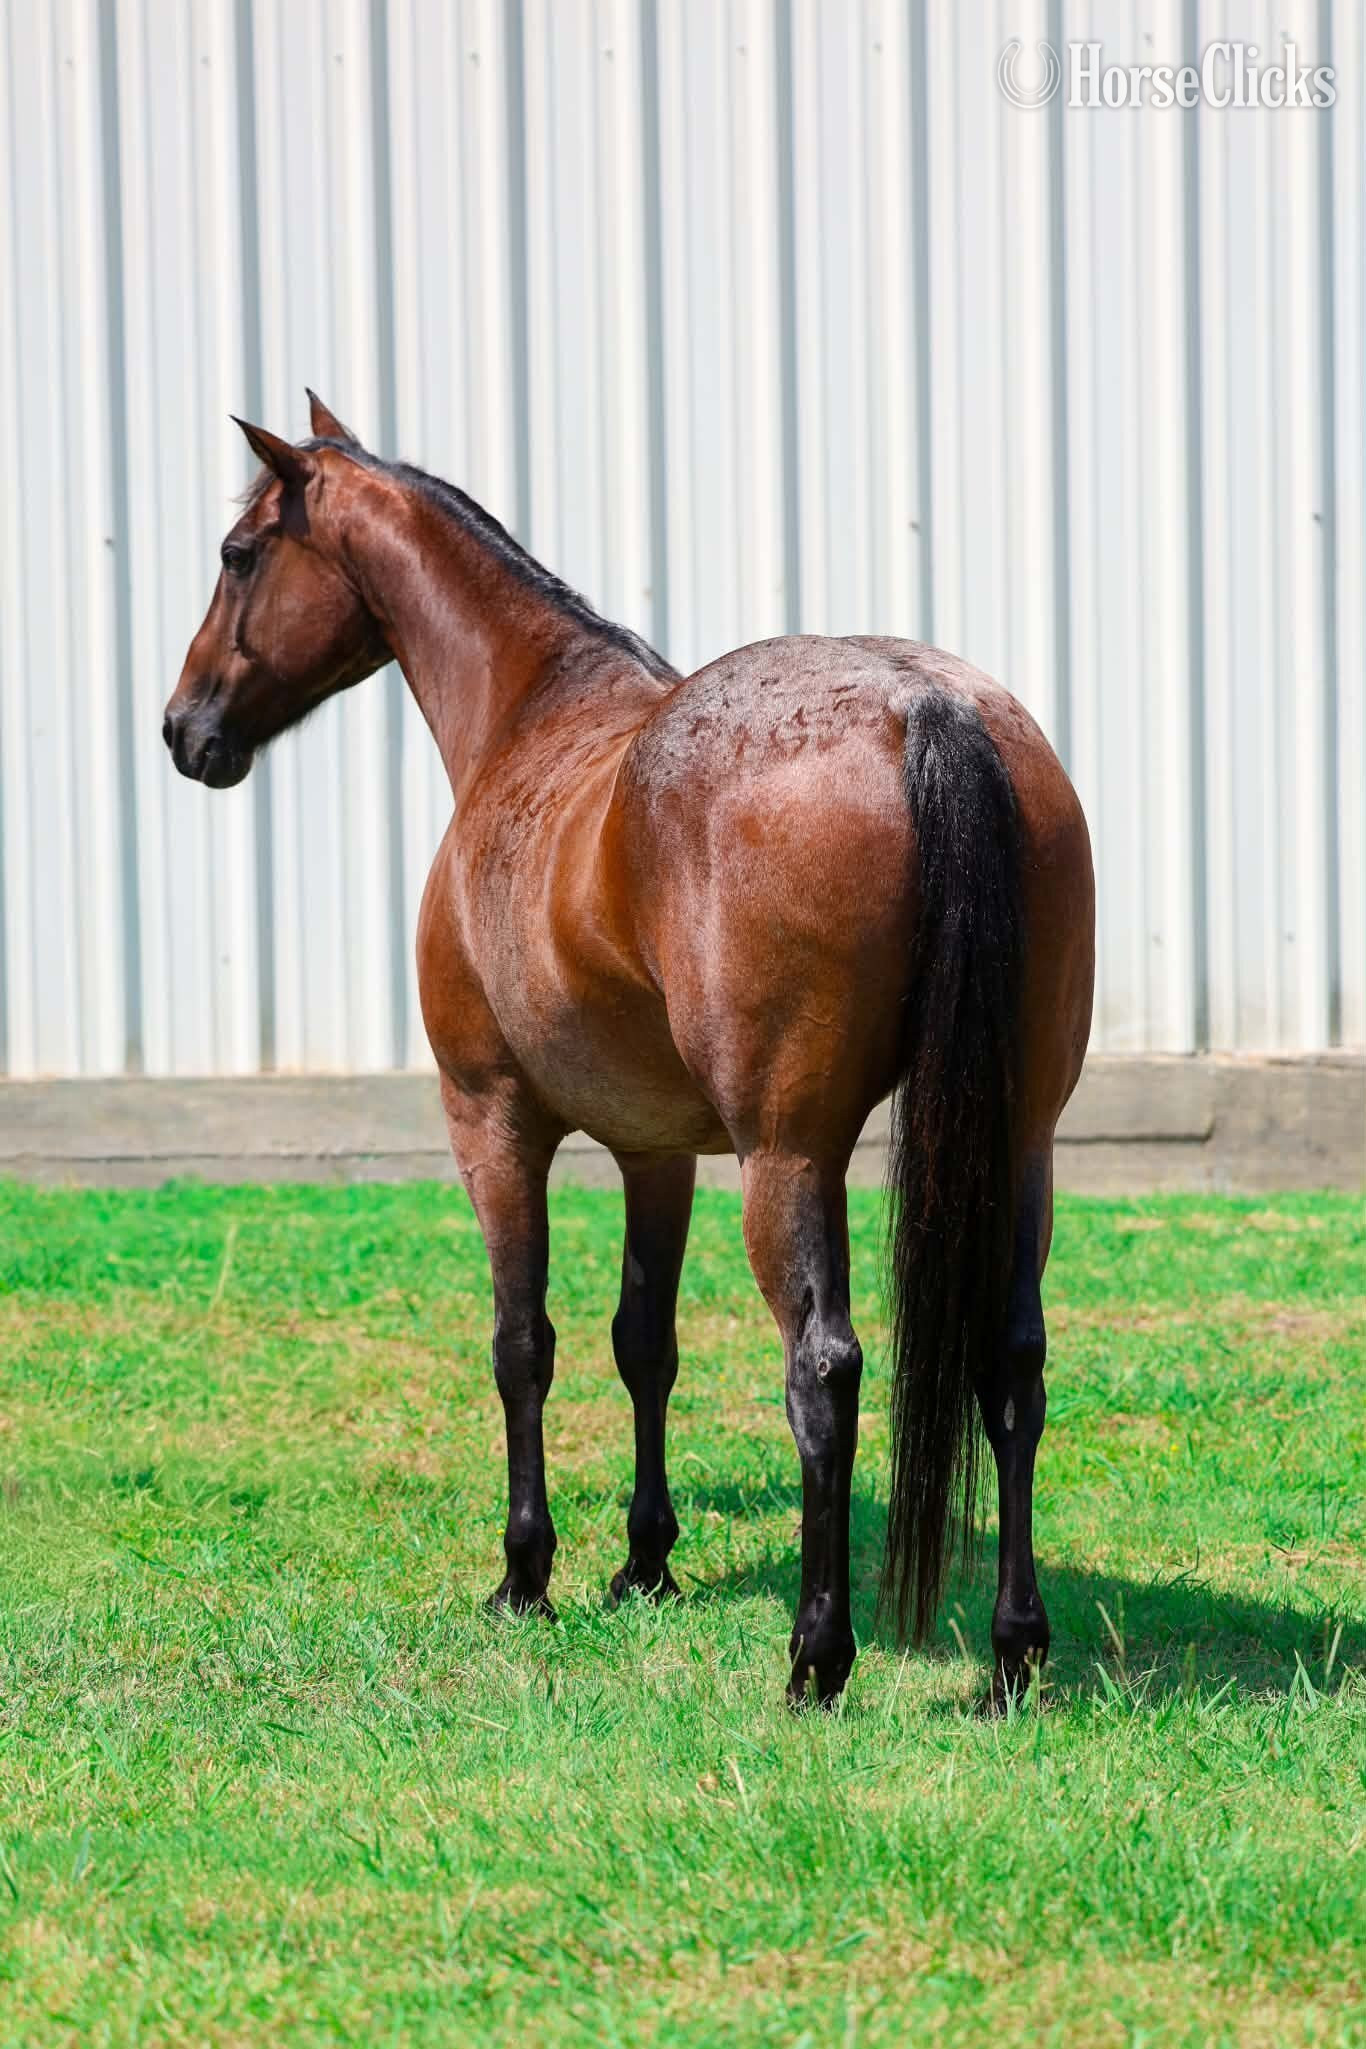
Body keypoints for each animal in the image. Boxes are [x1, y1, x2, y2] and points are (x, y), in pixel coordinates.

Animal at [164, 394, 1095, 1711]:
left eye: (238, 555)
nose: (182, 730)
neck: (529, 715)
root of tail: (928, 710)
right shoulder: (656, 1153)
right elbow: (642, 1344)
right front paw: (644, 1562)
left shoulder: (493, 1123)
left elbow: (524, 1345)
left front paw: (525, 1576)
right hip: (1017, 1144)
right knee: (1011, 1366)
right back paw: (1014, 1651)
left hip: (788, 1157)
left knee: (823, 1369)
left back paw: (817, 1657)